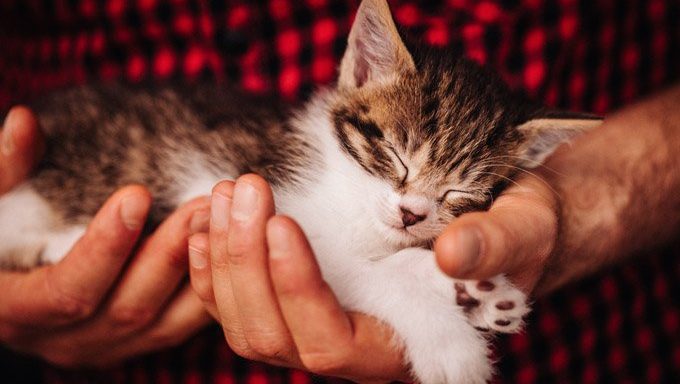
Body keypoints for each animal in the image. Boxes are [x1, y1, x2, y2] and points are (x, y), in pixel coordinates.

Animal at [0, 1, 600, 382]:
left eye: (459, 192)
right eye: (396, 155)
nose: (411, 214)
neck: (352, 185)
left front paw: (471, 292)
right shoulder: (268, 206)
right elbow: (363, 273)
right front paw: (448, 342)